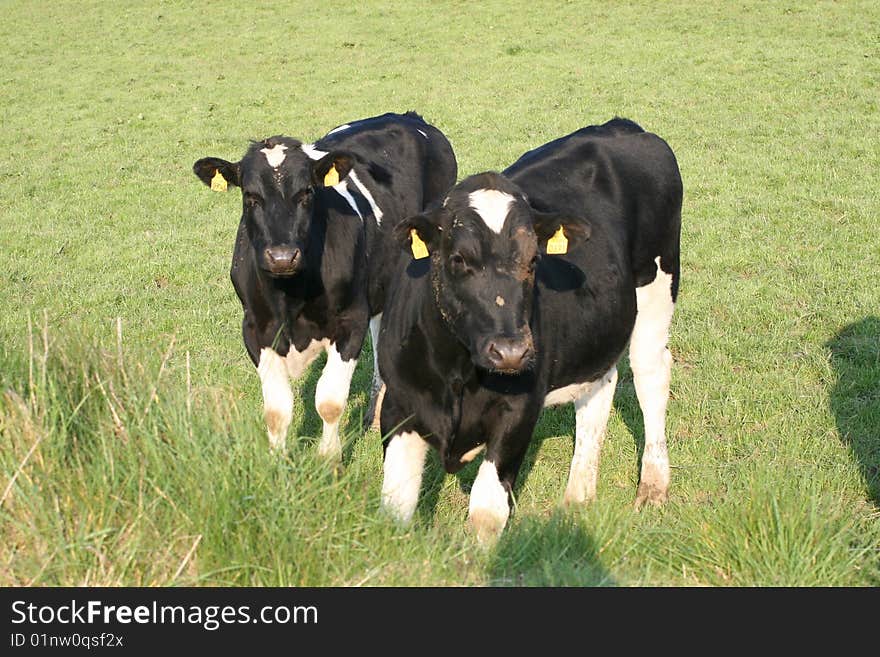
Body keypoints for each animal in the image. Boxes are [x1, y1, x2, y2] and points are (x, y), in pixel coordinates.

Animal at [190, 111, 458, 456]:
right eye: (250, 196)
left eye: (306, 192)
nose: (282, 256)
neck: (290, 297)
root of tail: (407, 117)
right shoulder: (255, 327)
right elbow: (277, 410)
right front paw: (278, 461)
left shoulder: (350, 322)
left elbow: (329, 402)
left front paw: (329, 458)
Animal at [376, 116, 680, 540]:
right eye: (458, 258)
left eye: (534, 259)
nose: (511, 352)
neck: (458, 372)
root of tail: (620, 126)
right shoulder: (399, 404)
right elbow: (394, 509)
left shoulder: (518, 412)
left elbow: (486, 512)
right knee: (600, 389)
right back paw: (577, 497)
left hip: (657, 285)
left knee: (651, 375)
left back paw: (652, 487)